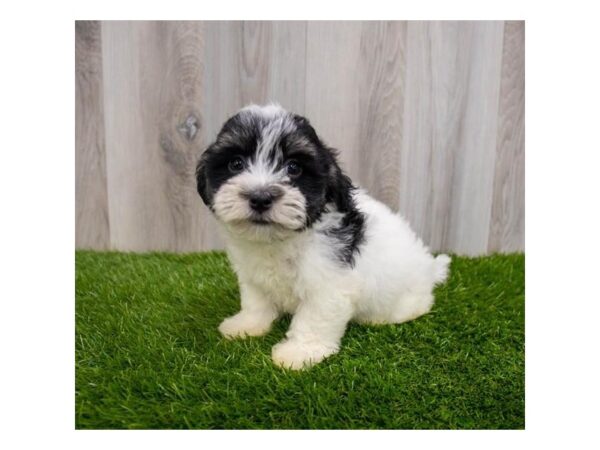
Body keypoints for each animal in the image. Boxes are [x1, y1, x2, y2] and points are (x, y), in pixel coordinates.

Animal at [195, 103, 448, 370]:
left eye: (294, 167)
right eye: (236, 164)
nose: (260, 197)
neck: (279, 239)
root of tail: (430, 269)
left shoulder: (329, 282)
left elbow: (315, 317)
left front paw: (299, 352)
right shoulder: (253, 276)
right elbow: (256, 301)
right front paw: (247, 325)